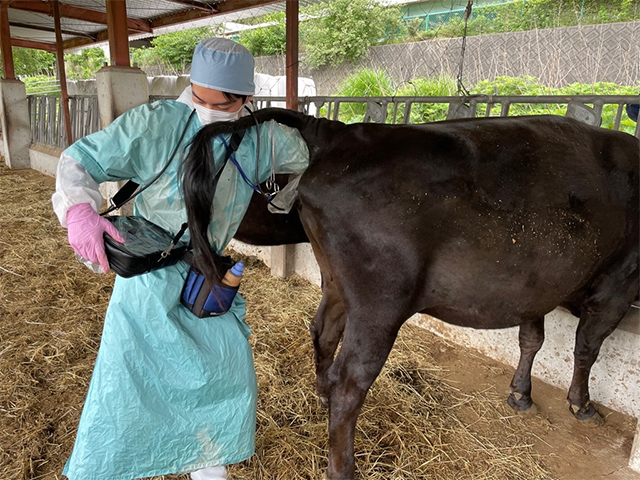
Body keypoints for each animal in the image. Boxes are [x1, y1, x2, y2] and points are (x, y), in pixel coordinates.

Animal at [181, 109, 640, 480]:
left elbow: (532, 339)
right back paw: (342, 466)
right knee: (352, 380)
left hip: (338, 283)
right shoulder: (618, 283)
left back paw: (322, 393)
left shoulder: (536, 286)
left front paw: (521, 392)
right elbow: (586, 347)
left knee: (323, 332)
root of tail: (339, 133)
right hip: (381, 303)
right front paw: (581, 404)